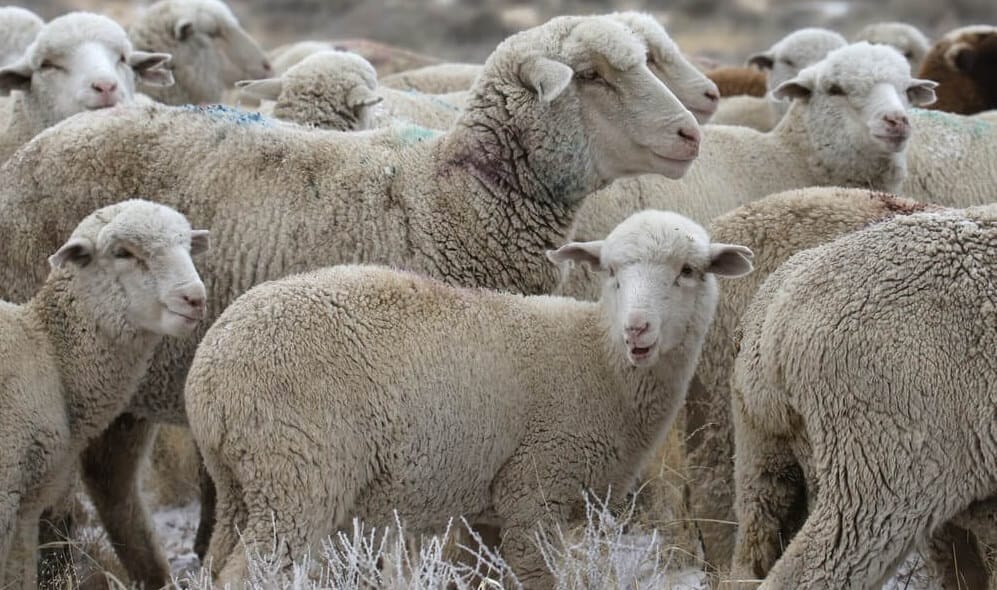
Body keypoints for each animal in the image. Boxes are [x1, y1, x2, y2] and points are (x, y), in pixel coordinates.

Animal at [0, 199, 209, 589]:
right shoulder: (6, 491)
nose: (195, 298)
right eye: (123, 253)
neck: (49, 351)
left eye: (188, 246)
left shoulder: (27, 504)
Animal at [184, 209, 754, 585]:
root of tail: (210, 372)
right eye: (610, 272)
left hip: (243, 483)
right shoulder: (534, 489)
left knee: (215, 565)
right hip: (296, 473)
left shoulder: (492, 507)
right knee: (249, 573)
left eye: (688, 271)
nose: (638, 329)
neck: (599, 358)